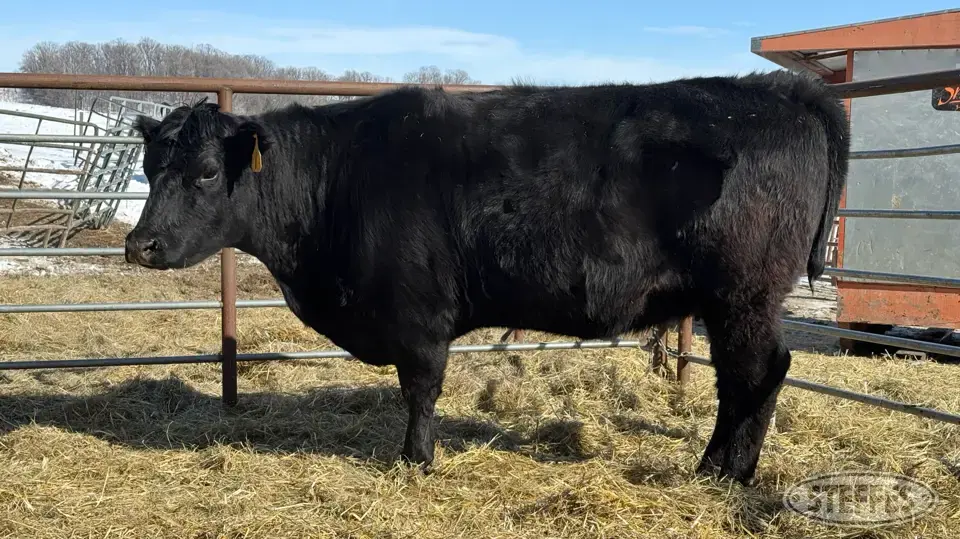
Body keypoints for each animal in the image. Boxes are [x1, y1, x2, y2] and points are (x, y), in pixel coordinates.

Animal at [124, 69, 849, 485]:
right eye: (149, 168)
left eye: (207, 173)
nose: (139, 244)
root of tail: (782, 90)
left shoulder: (418, 316)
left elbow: (420, 390)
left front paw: (416, 460)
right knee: (740, 381)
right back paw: (714, 466)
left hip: (746, 295)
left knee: (759, 375)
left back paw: (728, 473)